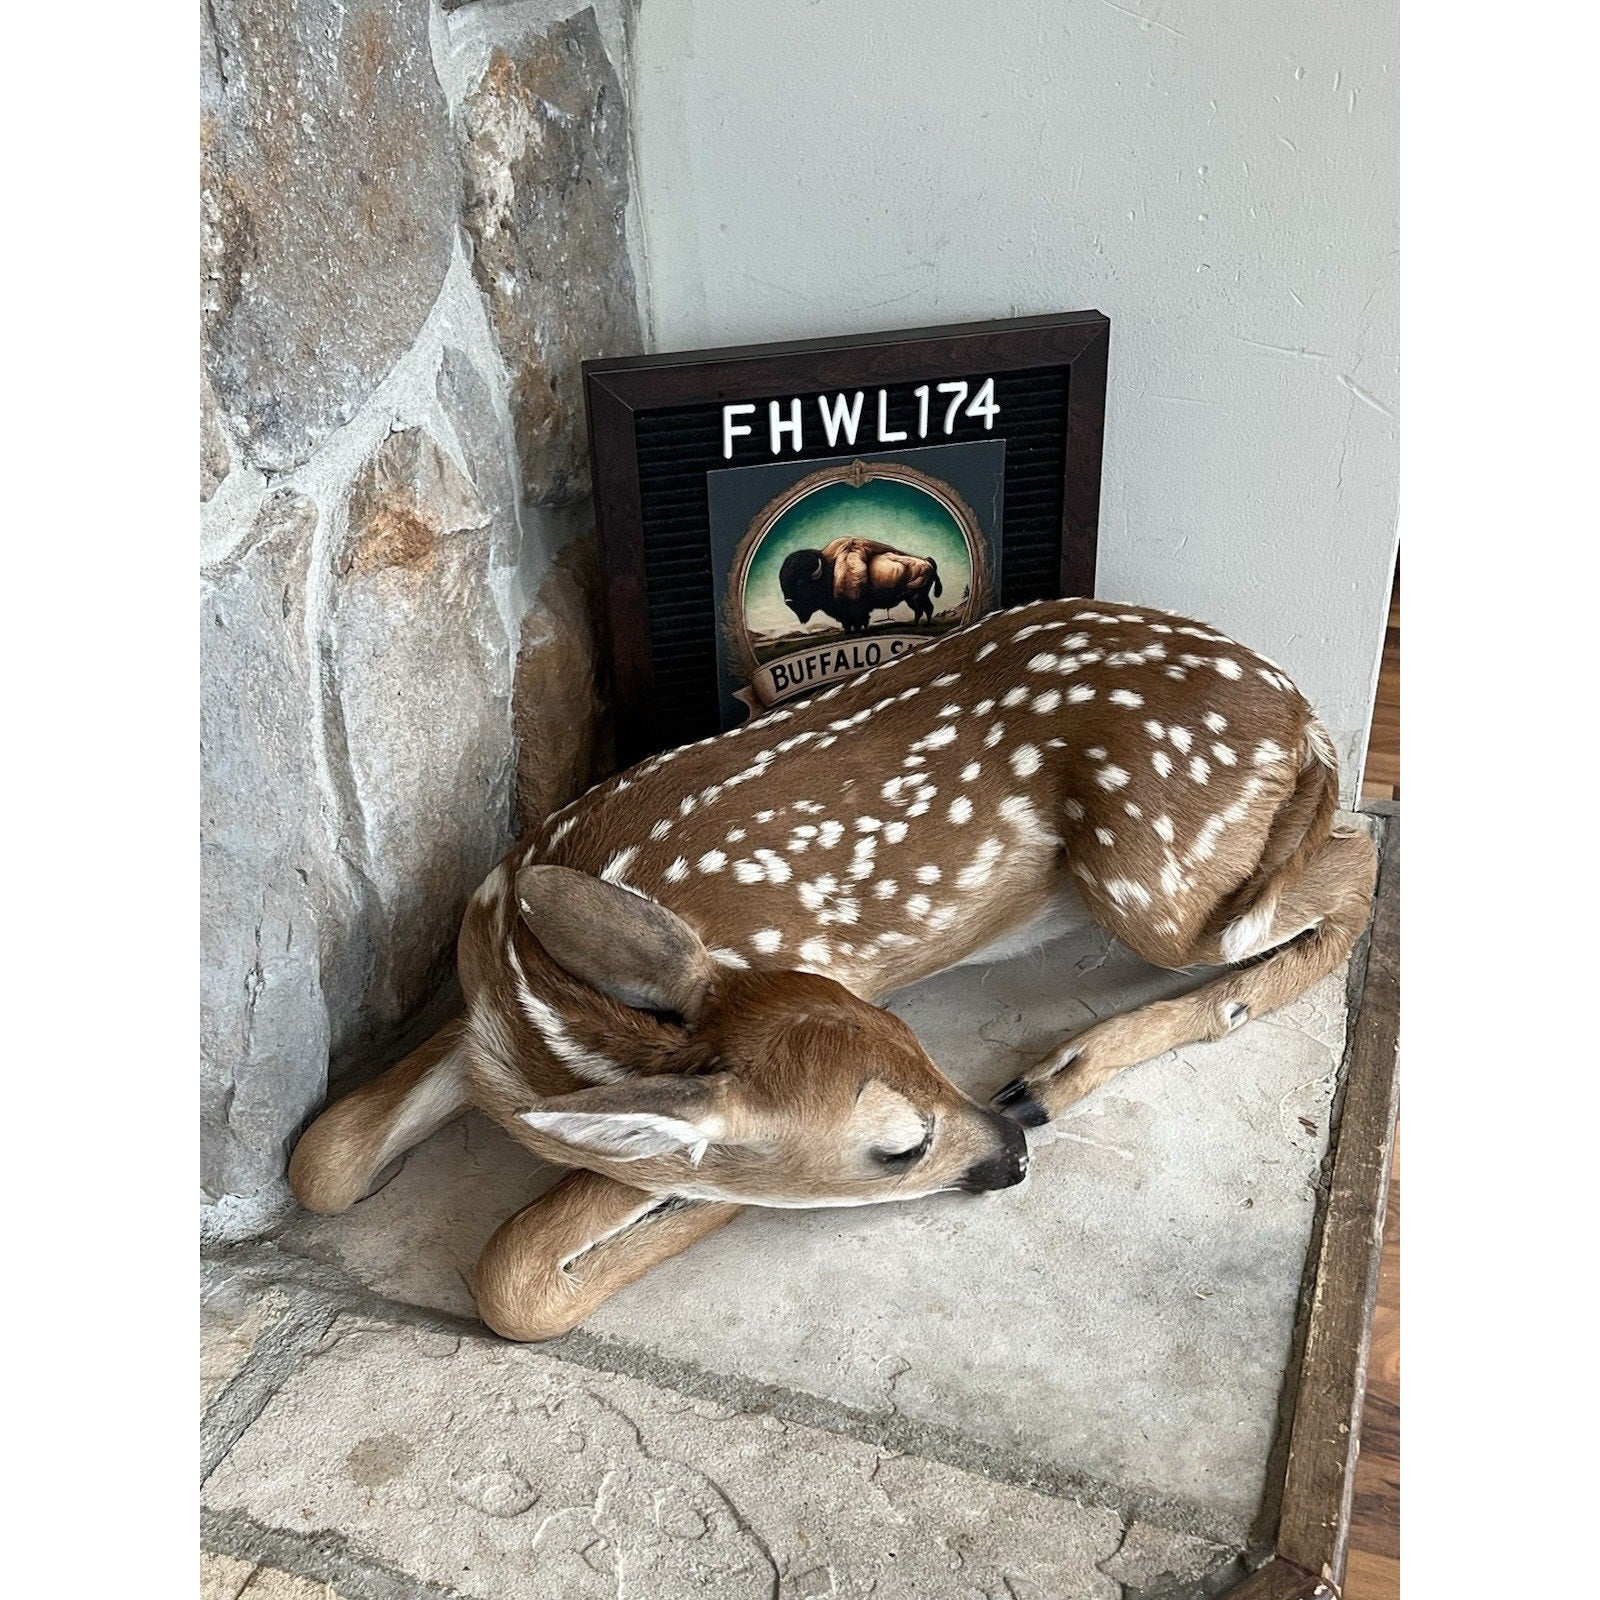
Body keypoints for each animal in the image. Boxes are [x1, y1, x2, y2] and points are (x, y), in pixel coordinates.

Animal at [288, 598, 1376, 1342]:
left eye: (916, 1039)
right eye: (894, 1143)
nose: (1012, 1153)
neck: (544, 1030)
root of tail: (1303, 715)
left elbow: (514, 1273)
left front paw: (686, 1211)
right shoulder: (474, 1019)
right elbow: (323, 1157)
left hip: (1158, 882)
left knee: (1357, 866)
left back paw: (1057, 1073)